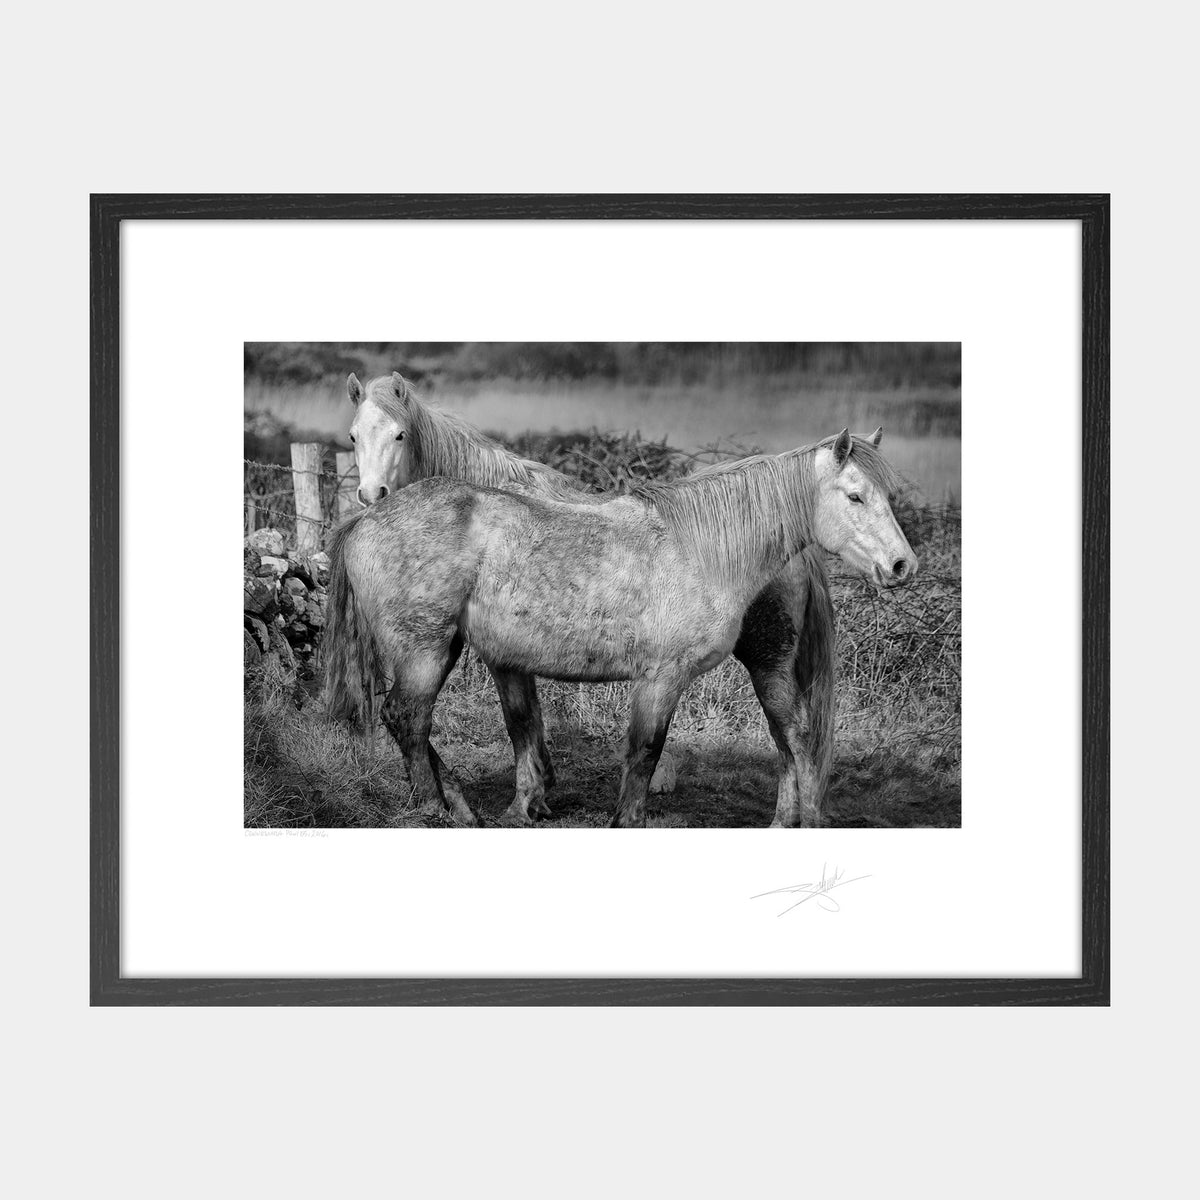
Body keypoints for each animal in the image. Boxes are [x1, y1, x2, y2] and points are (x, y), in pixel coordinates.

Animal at [324, 415, 917, 827]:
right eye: (856, 495)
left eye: (886, 495)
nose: (901, 566)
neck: (700, 546)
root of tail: (364, 520)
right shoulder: (659, 679)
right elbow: (642, 755)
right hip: (425, 652)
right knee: (408, 719)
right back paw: (437, 810)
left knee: (791, 736)